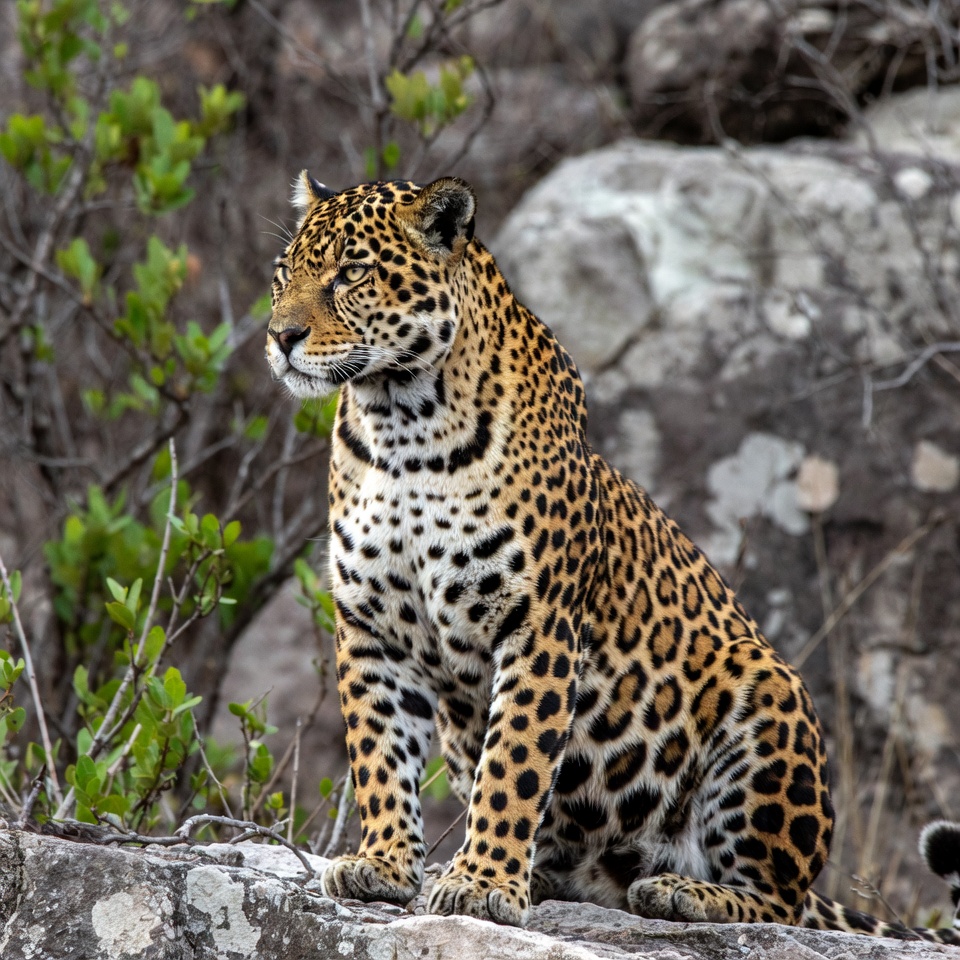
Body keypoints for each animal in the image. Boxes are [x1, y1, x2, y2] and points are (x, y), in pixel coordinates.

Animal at [266, 171, 960, 944]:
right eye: (284, 273)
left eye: (351, 273)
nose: (280, 336)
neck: (401, 425)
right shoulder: (369, 626)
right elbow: (379, 755)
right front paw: (382, 865)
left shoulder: (537, 623)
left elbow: (513, 763)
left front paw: (482, 884)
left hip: (770, 700)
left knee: (778, 903)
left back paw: (682, 893)